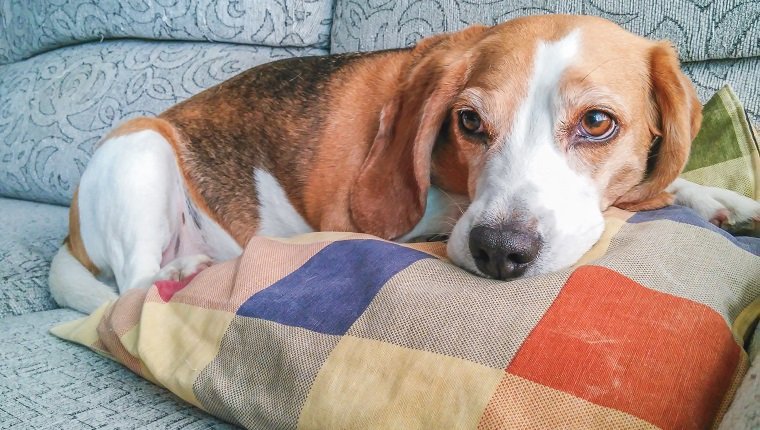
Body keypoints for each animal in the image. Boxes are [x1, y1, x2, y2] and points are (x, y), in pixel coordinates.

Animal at [49, 15, 760, 314]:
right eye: (469, 122)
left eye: (597, 124)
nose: (499, 252)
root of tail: (70, 235)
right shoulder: (380, 215)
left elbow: (672, 184)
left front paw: (722, 201)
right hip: (139, 152)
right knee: (133, 285)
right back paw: (184, 272)